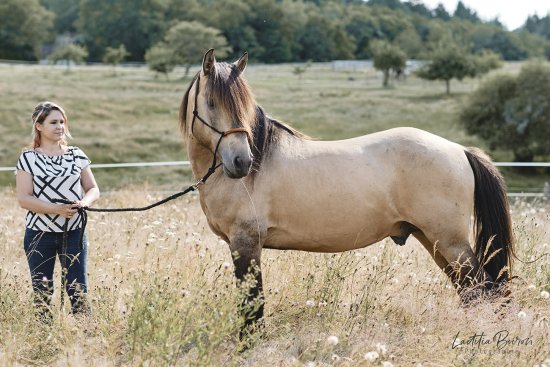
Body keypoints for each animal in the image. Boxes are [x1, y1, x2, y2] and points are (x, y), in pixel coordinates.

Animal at [179, 50, 516, 338]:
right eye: (211, 102)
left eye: (244, 106)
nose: (242, 162)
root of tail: (460, 150)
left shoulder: (246, 243)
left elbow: (252, 304)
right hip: (434, 241)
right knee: (470, 291)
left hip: (450, 242)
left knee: (484, 289)